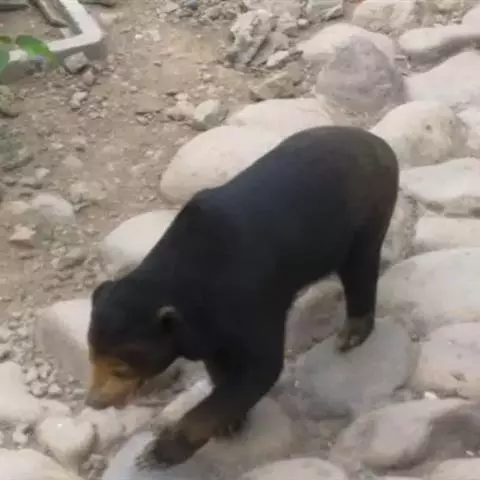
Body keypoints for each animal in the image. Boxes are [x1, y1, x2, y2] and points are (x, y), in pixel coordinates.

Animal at [86, 125, 399, 469]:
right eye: (91, 355)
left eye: (121, 367)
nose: (94, 401)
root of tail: (377, 142)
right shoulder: (205, 326)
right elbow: (219, 361)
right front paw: (231, 423)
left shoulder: (251, 298)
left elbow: (260, 368)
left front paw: (157, 452)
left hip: (369, 211)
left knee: (360, 267)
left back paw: (351, 333)